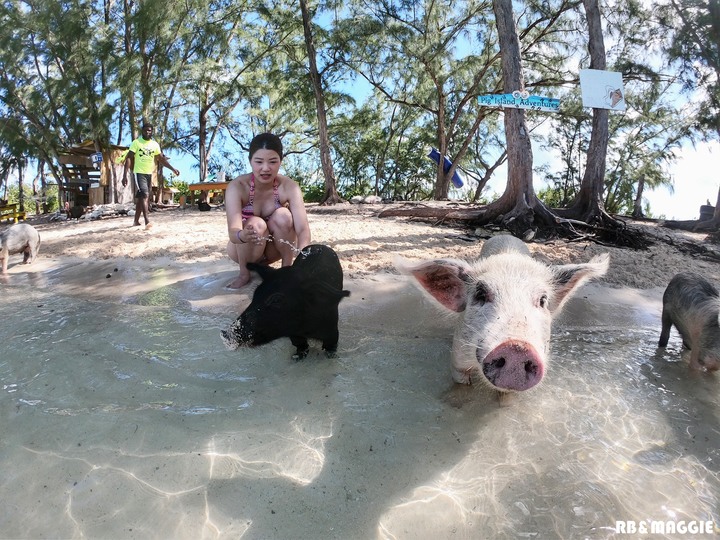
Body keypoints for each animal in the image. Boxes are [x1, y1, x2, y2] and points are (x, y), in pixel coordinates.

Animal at [222, 245, 352, 358]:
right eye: (255, 294)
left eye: (276, 300)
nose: (224, 334)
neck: (305, 329)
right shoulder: (294, 335)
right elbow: (301, 346)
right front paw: (296, 358)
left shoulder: (332, 331)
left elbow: (330, 347)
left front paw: (332, 357)